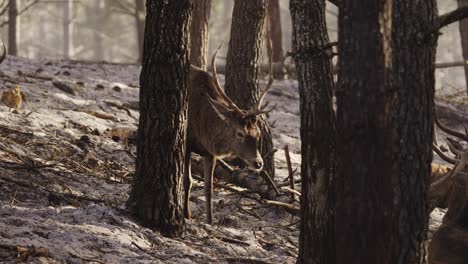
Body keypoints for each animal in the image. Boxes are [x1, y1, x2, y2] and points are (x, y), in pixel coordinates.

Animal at [185, 44, 274, 224]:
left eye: (258, 134)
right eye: (240, 133)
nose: (258, 163)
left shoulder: (209, 153)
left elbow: (209, 189)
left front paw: (210, 221)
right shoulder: (186, 142)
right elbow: (187, 182)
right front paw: (186, 215)